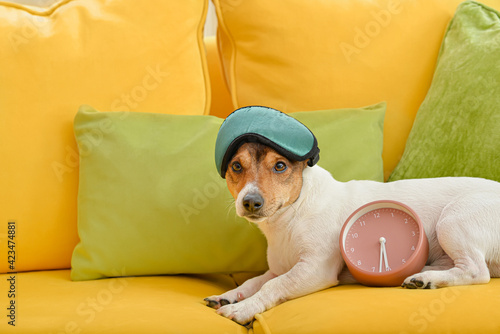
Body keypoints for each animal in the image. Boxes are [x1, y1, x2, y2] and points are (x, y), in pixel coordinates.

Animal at [204, 142, 500, 326]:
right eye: (236, 167)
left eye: (279, 166)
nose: (250, 202)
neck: (292, 215)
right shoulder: (278, 268)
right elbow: (254, 282)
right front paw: (230, 295)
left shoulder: (314, 270)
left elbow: (273, 286)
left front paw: (243, 308)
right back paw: (422, 275)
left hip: (453, 220)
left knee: (476, 271)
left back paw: (427, 279)